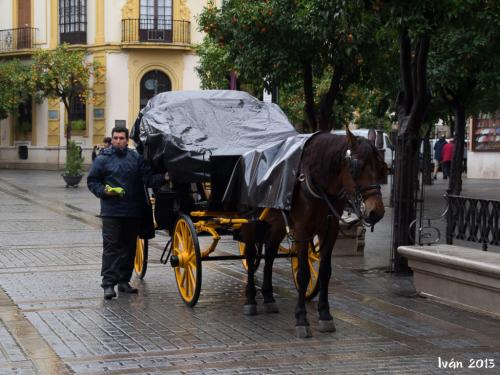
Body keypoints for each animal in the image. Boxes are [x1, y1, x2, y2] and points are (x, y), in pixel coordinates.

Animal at [242, 129, 386, 338]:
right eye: (357, 167)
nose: (377, 212)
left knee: (269, 255)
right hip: (251, 220)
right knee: (251, 254)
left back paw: (268, 297)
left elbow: (325, 272)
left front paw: (325, 315)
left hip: (276, 224)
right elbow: (303, 274)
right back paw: (250, 298)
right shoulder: (302, 230)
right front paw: (301, 318)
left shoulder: (330, 231)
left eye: (381, 167)